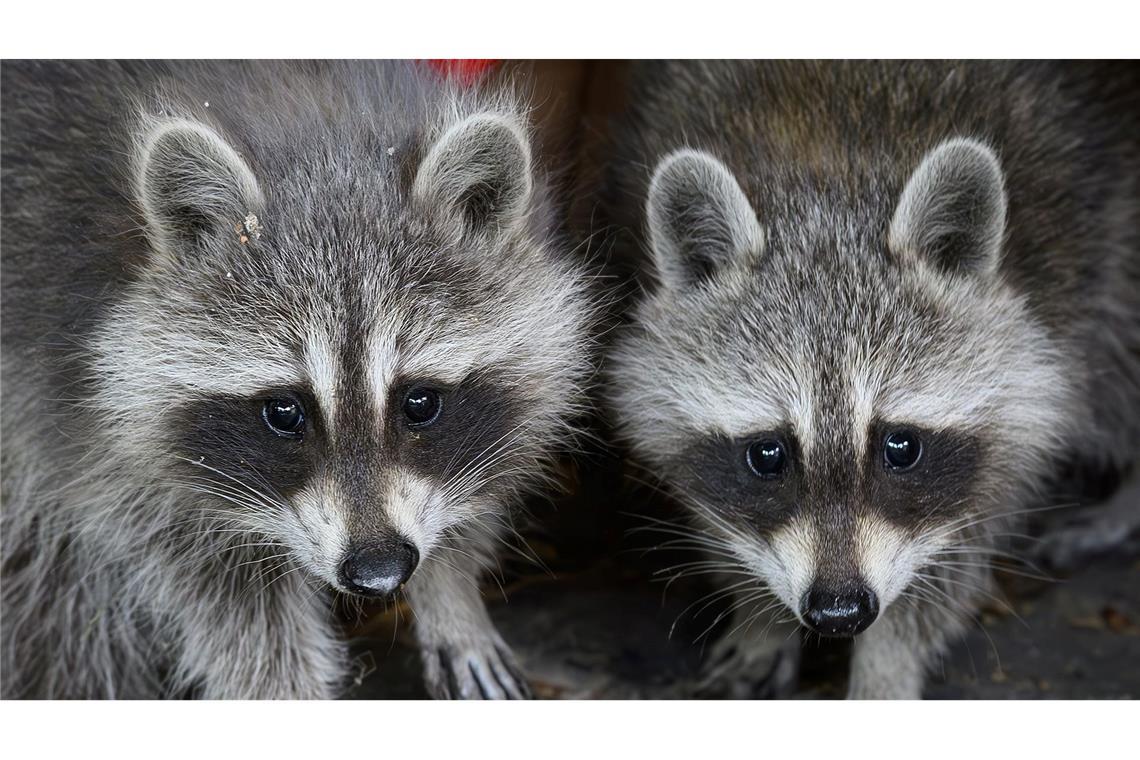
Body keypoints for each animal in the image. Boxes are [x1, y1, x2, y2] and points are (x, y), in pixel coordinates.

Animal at [0, 60, 588, 701]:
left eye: (420, 402)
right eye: (285, 411)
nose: (379, 573)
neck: (325, 136)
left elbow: (483, 474)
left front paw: (450, 590)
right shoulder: (86, 426)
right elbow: (226, 599)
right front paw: (285, 693)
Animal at [606, 62, 1140, 697]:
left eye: (901, 447)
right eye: (767, 454)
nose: (839, 612)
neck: (833, 176)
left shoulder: (1040, 352)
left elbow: (956, 550)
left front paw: (886, 667)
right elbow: (721, 513)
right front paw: (760, 616)